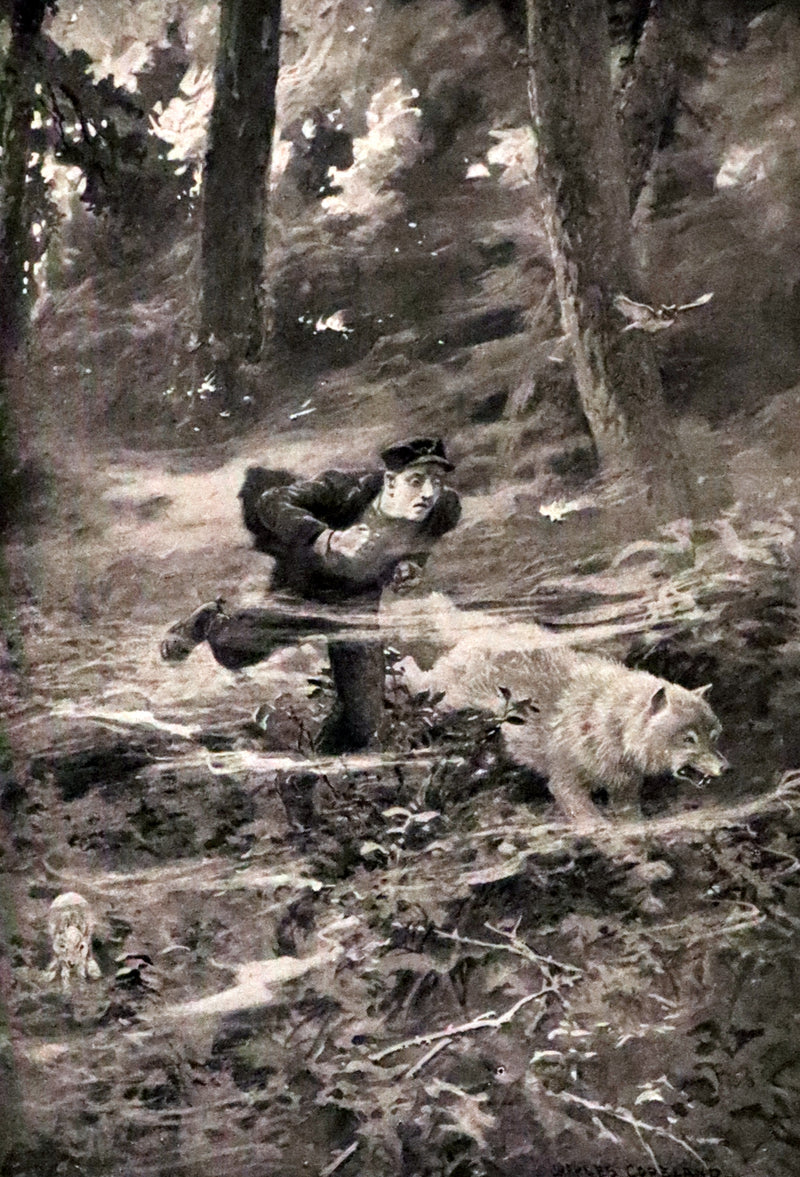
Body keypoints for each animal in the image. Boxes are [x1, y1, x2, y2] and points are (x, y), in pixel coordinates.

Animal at [397, 615, 727, 824]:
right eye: (689, 738)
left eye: (714, 736)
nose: (726, 767)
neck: (608, 723)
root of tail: (480, 632)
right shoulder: (565, 784)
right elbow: (593, 822)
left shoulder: (624, 788)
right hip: (444, 698)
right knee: (415, 675)